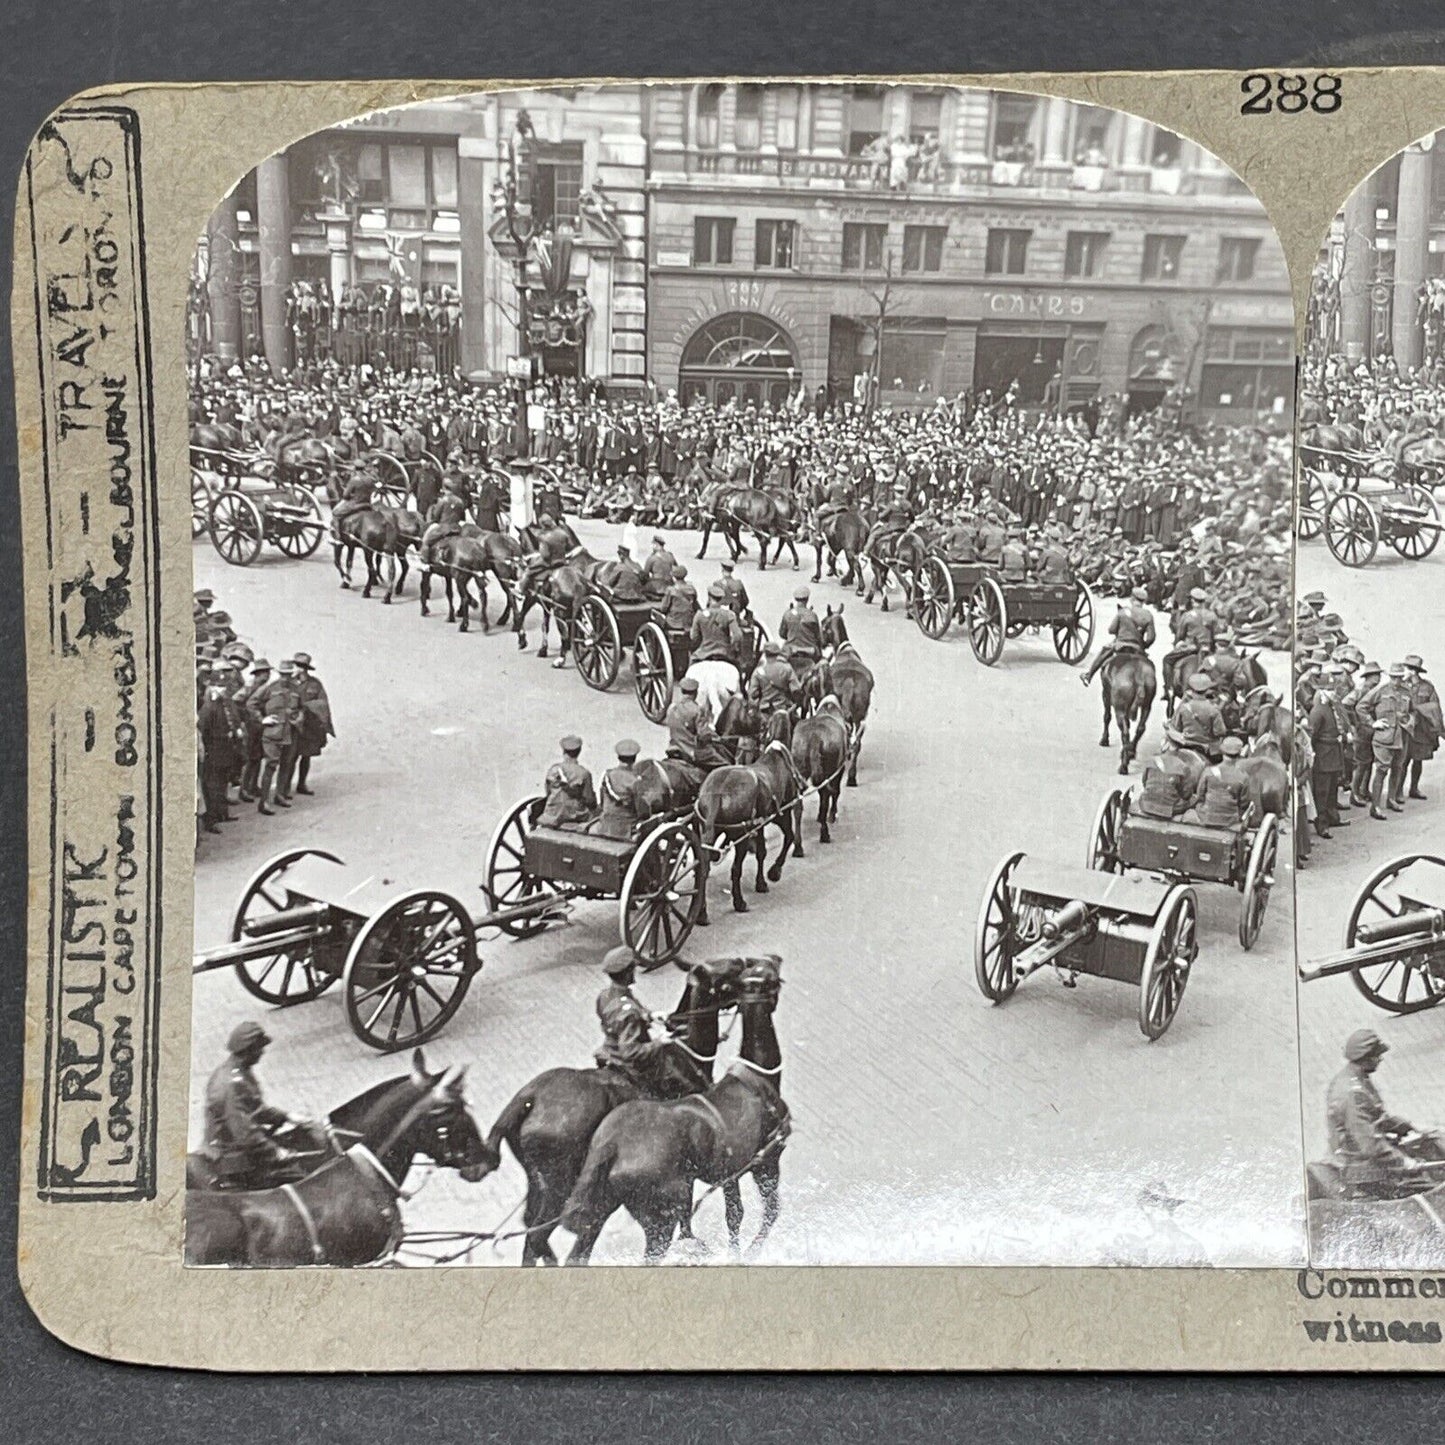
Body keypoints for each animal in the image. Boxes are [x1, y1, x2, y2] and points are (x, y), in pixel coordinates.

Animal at [471, 959, 745, 1265]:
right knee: (540, 1235)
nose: (746, 964)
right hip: (558, 1188)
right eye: (724, 974)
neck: (685, 1054)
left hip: (539, 1186)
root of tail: (528, 1096)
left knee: (533, 1230)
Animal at [560, 959, 791, 1265]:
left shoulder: (728, 1176)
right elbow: (768, 1213)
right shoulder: (766, 1163)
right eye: (726, 975)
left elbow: (735, 1216)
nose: (766, 958)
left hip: (601, 1212)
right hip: (661, 1221)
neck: (756, 1077)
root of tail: (610, 1147)